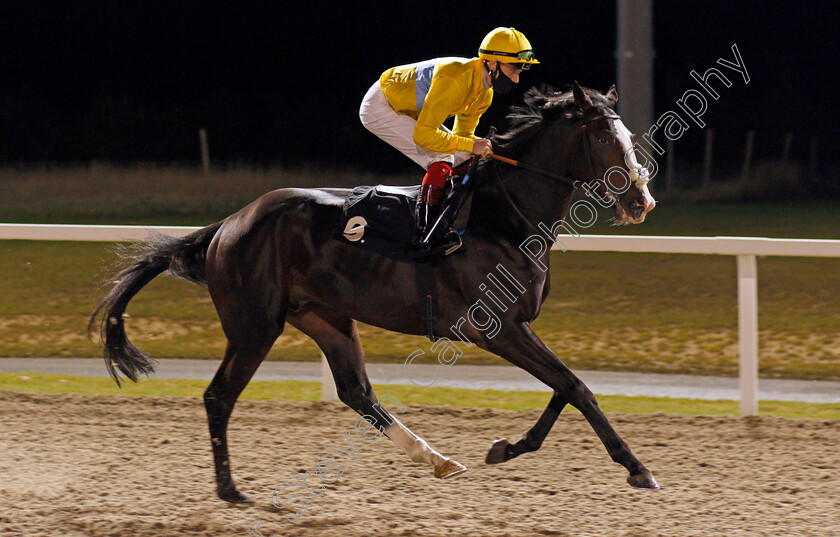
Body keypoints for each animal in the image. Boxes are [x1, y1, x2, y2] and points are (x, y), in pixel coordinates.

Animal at [88, 80, 660, 502]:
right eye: (604, 139)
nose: (641, 201)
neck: (503, 216)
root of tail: (228, 224)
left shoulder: (517, 327)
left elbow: (565, 388)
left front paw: (507, 447)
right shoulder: (495, 328)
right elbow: (576, 387)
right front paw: (637, 468)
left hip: (325, 317)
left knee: (355, 391)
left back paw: (438, 460)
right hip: (255, 325)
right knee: (219, 395)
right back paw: (230, 490)